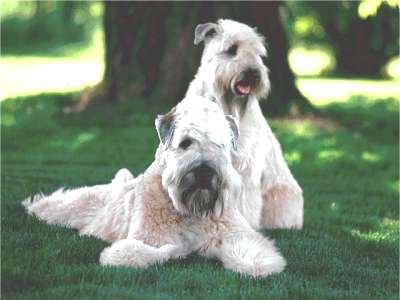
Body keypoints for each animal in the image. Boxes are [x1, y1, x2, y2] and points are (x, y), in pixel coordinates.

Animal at [22, 95, 284, 276]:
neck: (189, 212)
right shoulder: (141, 243)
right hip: (66, 207)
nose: (204, 172)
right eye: (186, 142)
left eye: (220, 144)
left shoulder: (240, 237)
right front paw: (179, 251)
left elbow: (254, 258)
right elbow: (150, 253)